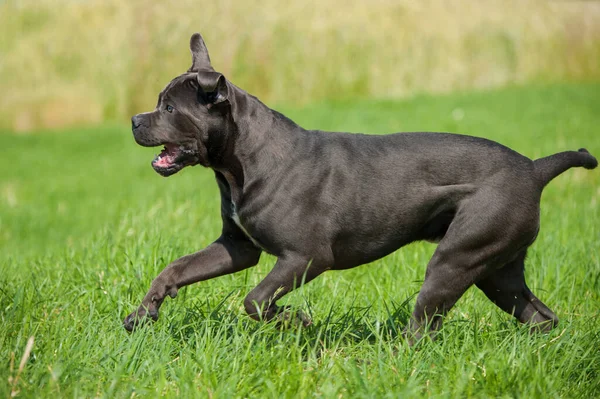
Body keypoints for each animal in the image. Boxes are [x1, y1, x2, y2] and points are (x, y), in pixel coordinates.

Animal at [125, 32, 596, 342]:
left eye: (169, 108)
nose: (133, 120)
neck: (241, 161)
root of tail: (534, 168)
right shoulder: (238, 247)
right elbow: (177, 268)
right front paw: (142, 313)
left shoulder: (305, 256)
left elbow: (256, 300)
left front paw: (296, 321)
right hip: (498, 270)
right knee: (540, 316)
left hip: (455, 260)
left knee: (423, 327)